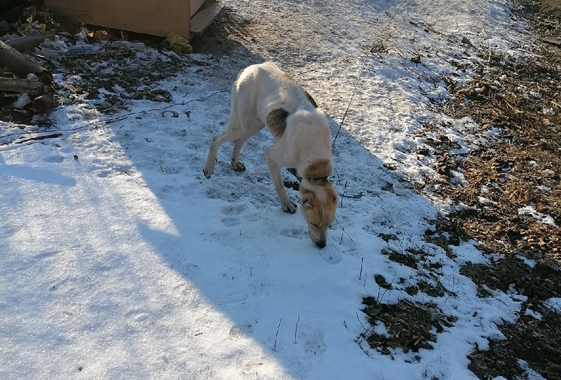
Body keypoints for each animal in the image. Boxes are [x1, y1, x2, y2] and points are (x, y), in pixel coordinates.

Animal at [205, 61, 336, 249]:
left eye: (329, 225)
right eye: (314, 223)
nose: (322, 245)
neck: (315, 162)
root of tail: (251, 68)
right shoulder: (272, 157)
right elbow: (280, 186)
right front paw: (286, 205)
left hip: (255, 124)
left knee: (238, 141)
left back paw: (235, 163)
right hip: (240, 124)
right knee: (216, 139)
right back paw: (208, 169)